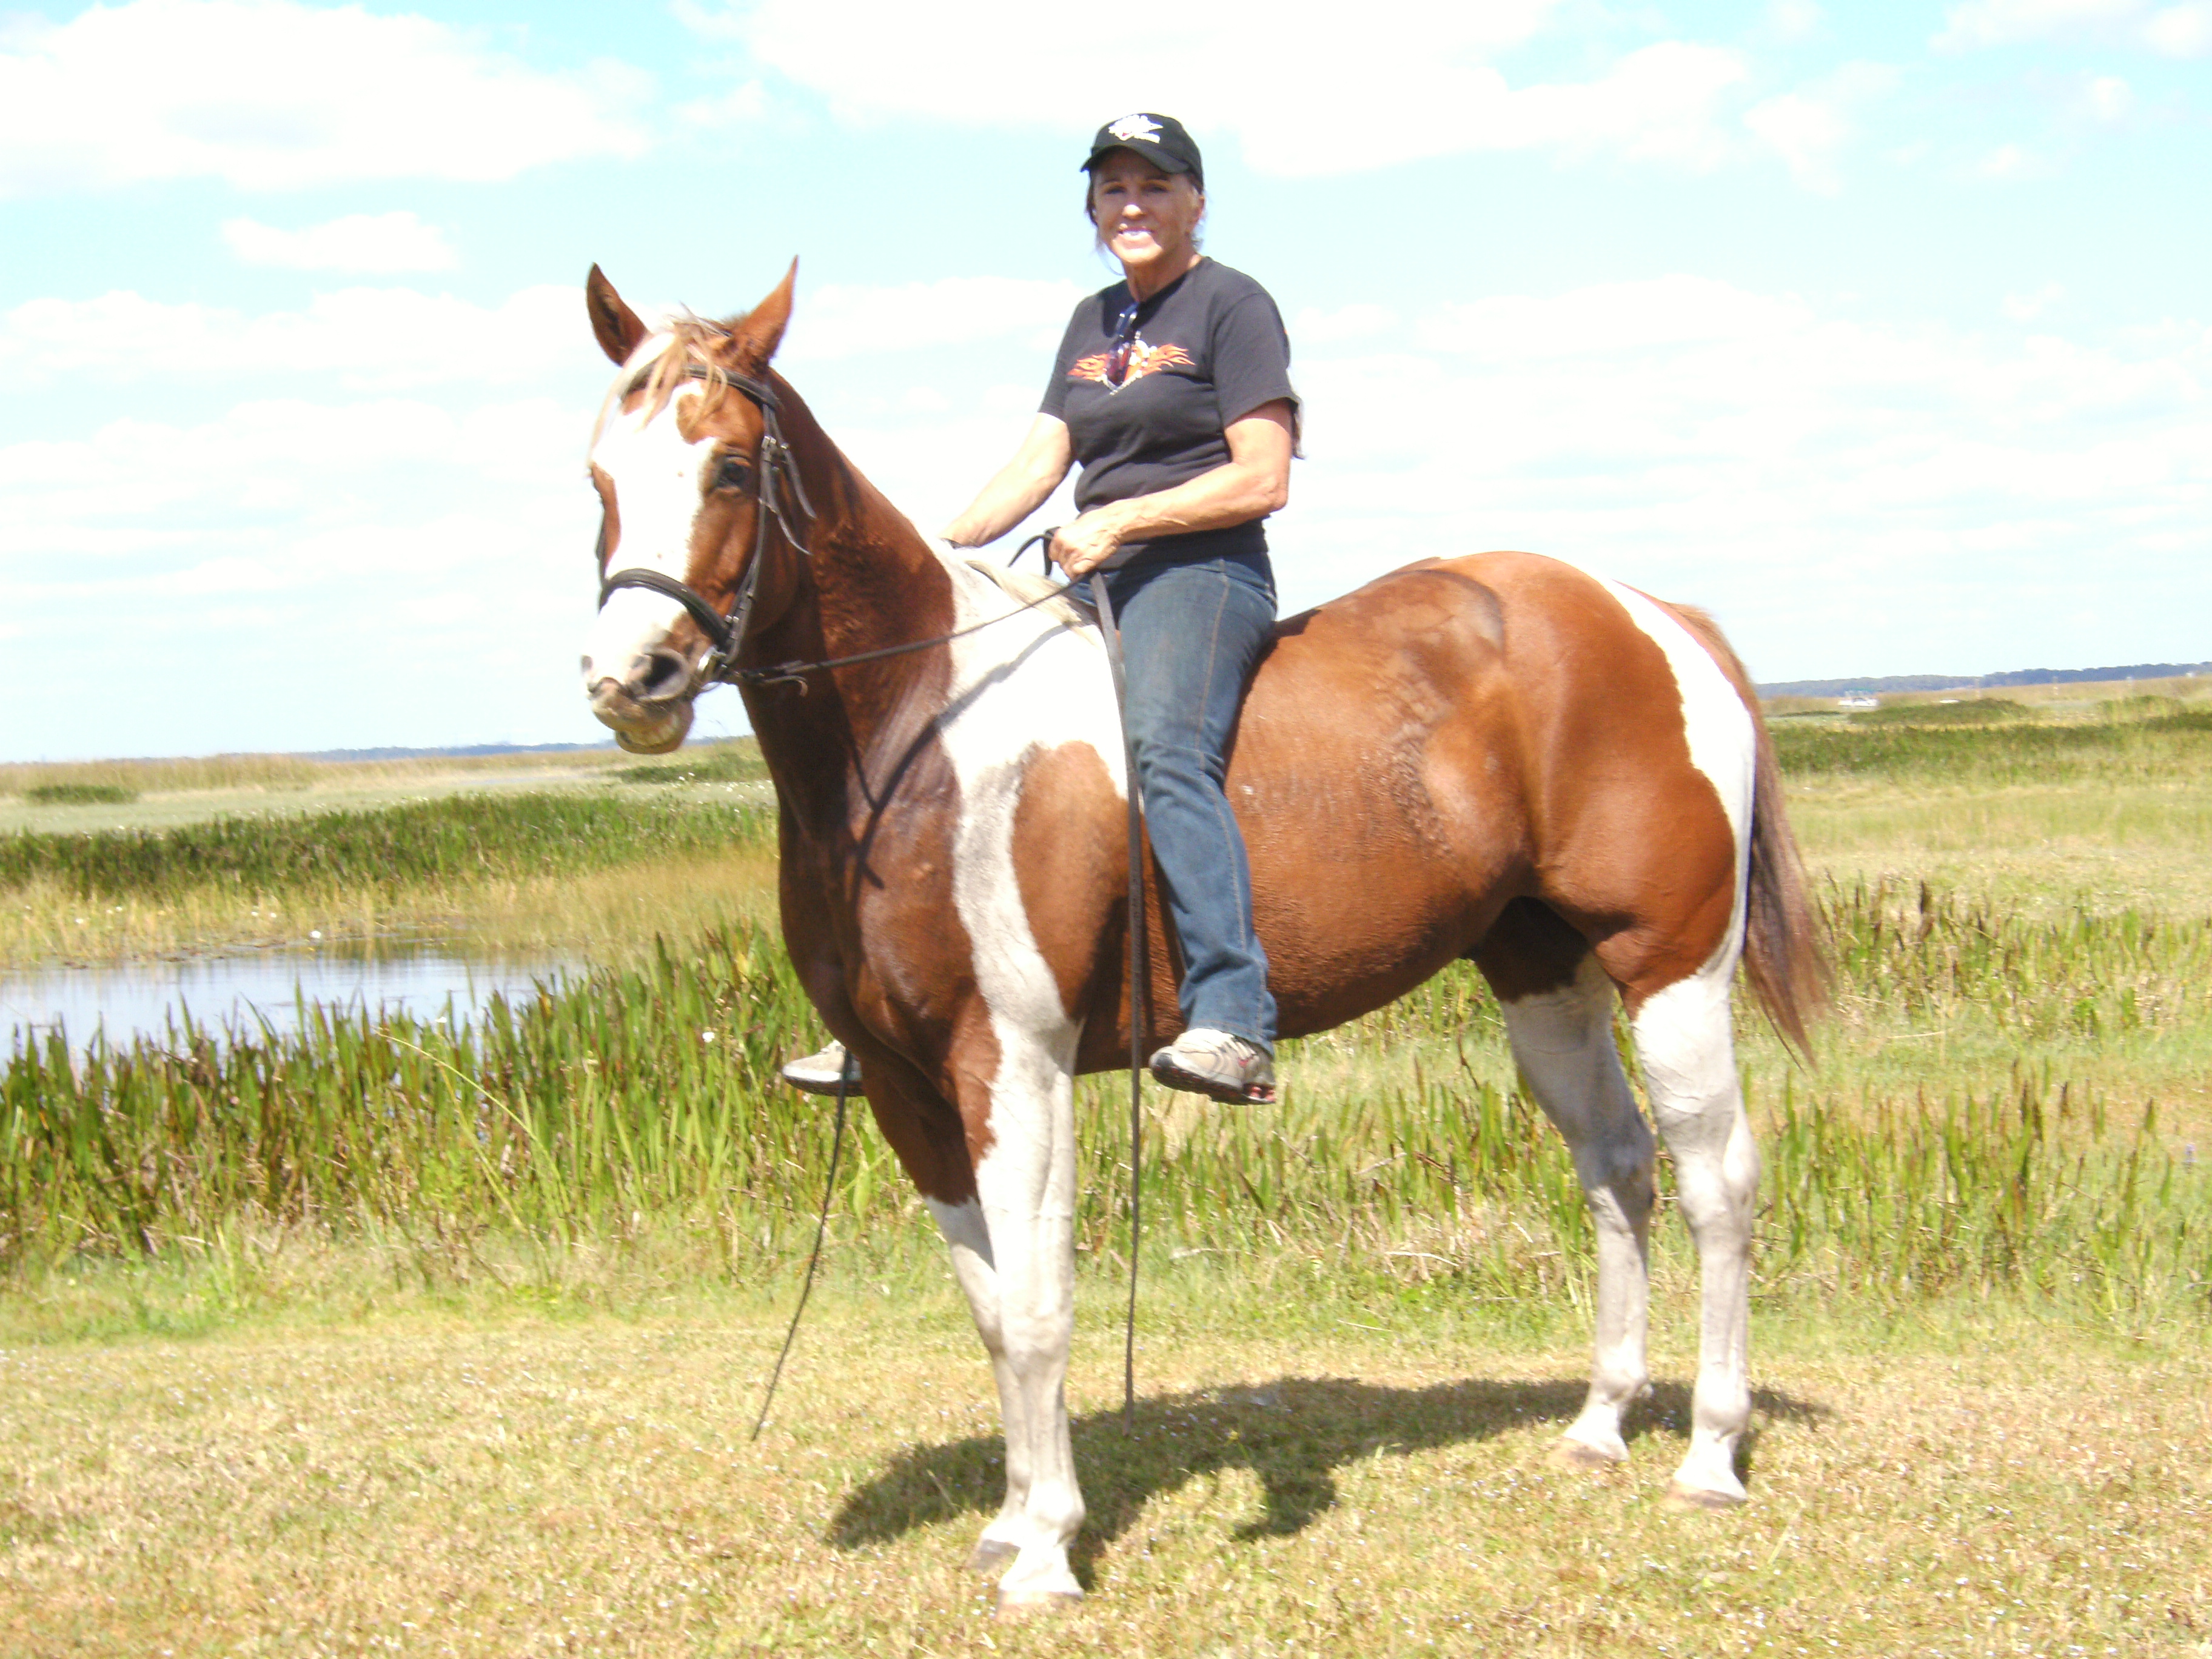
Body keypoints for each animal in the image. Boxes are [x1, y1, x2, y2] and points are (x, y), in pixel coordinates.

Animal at [579, 266, 1822, 1619]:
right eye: (598, 474)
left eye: (728, 468)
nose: (630, 677)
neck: (921, 738)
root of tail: (1654, 617)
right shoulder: (909, 1087)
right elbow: (988, 1309)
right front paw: (1010, 1522)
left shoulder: (1015, 1066)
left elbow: (1040, 1307)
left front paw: (1050, 1548)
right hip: (1543, 977)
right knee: (1614, 1164)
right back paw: (1600, 1424)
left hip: (1671, 970)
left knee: (1715, 1182)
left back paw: (1708, 1453)